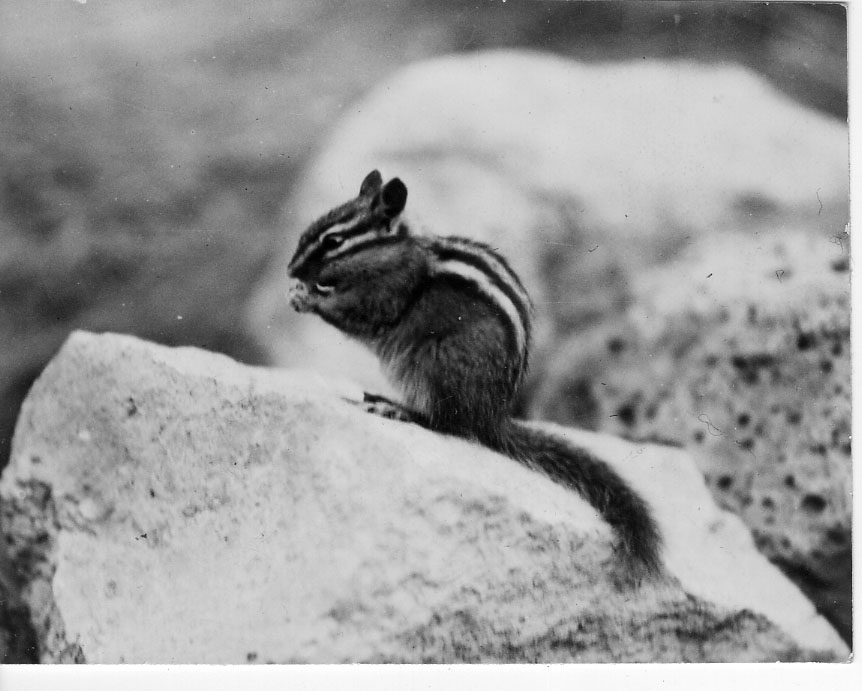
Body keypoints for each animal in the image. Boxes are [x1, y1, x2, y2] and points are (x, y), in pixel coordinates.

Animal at [286, 170, 662, 583]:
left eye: (333, 241)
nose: (290, 270)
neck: (397, 253)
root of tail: (492, 416)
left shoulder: (387, 295)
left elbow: (358, 315)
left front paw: (309, 297)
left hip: (435, 363)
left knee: (447, 423)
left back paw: (398, 409)